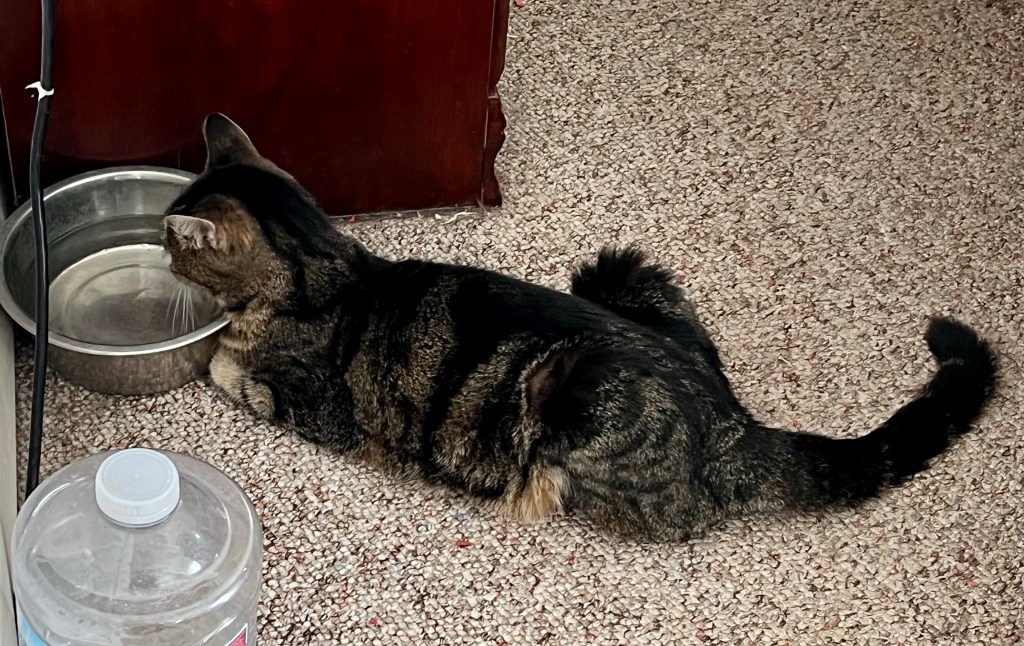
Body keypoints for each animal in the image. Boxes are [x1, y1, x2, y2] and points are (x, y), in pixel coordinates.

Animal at [163, 113, 997, 541]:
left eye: (171, 239)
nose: (159, 246)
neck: (321, 259)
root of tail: (736, 424)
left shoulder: (317, 410)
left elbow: (228, 369)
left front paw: (218, 352)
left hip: (572, 387)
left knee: (666, 517)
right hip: (617, 267)